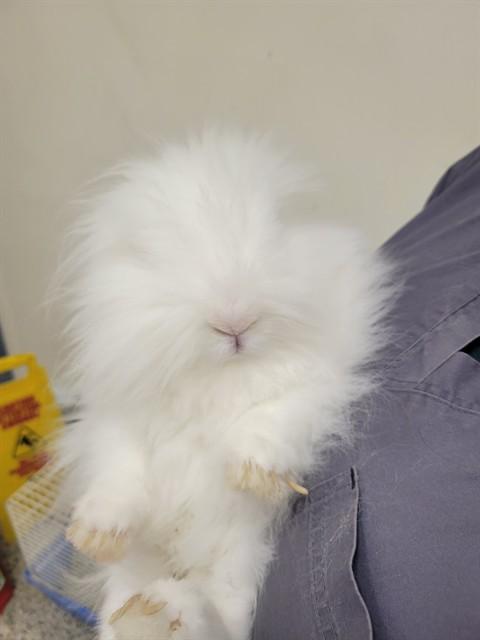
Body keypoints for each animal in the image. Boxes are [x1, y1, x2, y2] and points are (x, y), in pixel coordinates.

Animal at [57, 129, 393, 640]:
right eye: (155, 256)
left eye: (277, 228)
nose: (234, 321)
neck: (223, 377)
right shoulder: (118, 422)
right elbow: (121, 473)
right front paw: (95, 534)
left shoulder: (320, 386)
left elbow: (272, 419)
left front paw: (251, 473)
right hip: (134, 579)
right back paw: (144, 614)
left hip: (239, 571)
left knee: (221, 621)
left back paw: (164, 610)